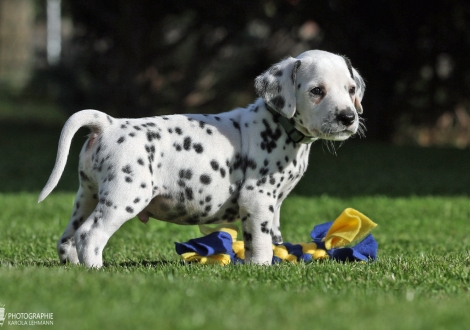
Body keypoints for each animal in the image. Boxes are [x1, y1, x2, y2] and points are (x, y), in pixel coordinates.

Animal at [38, 51, 366, 268]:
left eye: (351, 90)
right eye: (316, 91)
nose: (348, 117)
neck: (280, 125)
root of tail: (108, 124)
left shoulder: (274, 204)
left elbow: (271, 234)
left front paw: (279, 257)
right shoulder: (258, 198)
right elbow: (259, 240)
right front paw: (261, 267)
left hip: (87, 195)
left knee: (67, 238)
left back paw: (75, 268)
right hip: (124, 196)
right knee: (90, 235)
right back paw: (97, 270)